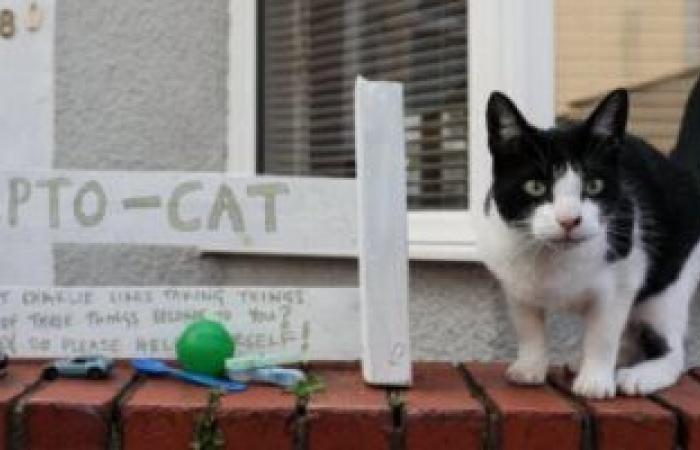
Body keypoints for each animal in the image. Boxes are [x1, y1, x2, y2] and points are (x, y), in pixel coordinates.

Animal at [478, 79, 700, 400]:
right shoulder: (513, 280)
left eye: (593, 185)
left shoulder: (623, 279)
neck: (554, 258)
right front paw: (529, 367)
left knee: (673, 351)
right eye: (535, 186)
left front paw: (595, 381)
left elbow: (603, 334)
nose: (569, 220)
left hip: (669, 285)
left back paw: (639, 375)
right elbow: (527, 325)